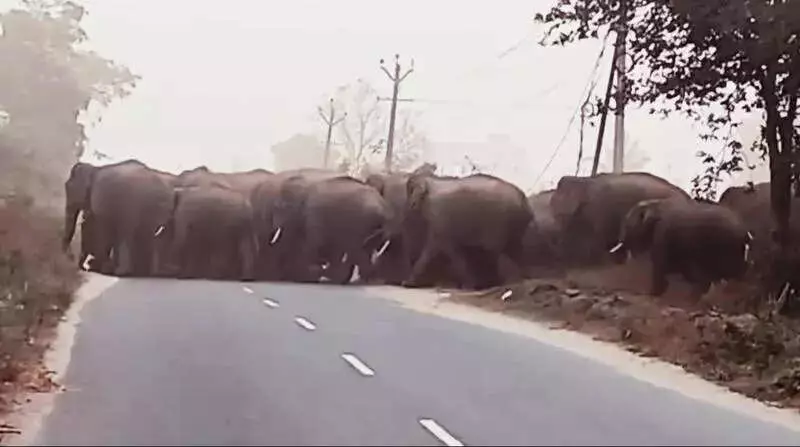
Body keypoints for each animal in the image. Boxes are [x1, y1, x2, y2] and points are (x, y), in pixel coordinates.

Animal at [401, 172, 533, 290]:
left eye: (409, 191)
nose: (410, 205)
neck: (431, 181)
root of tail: (525, 202)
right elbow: (433, 248)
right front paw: (408, 283)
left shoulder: (439, 216)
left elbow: (446, 248)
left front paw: (467, 286)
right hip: (515, 223)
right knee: (515, 250)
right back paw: (517, 282)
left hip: (501, 221)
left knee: (495, 251)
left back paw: (501, 284)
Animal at [610, 197, 752, 297]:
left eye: (627, 223)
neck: (655, 203)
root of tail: (745, 232)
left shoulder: (663, 233)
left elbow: (660, 263)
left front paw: (652, 294)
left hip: (724, 245)